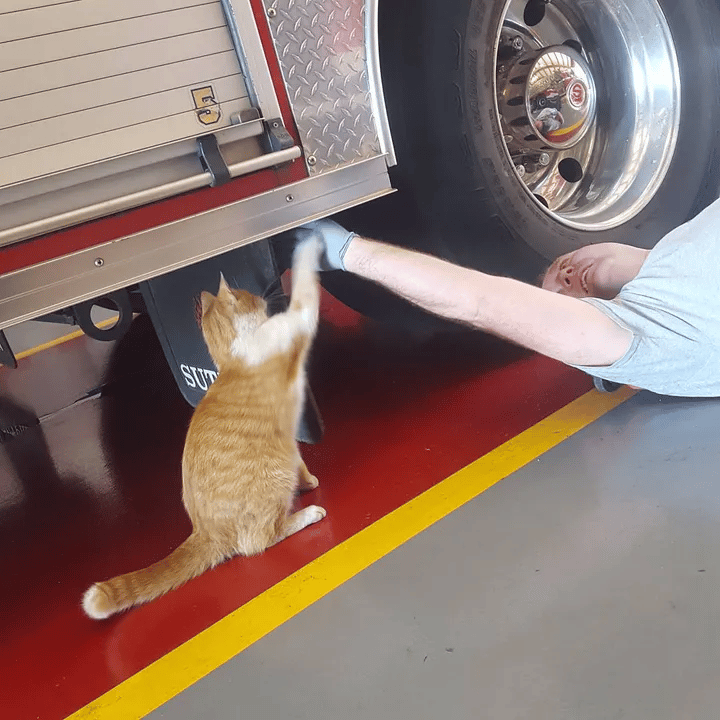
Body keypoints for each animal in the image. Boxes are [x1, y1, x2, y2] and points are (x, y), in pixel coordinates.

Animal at [82, 238, 326, 620]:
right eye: (249, 295)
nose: (262, 297)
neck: (233, 359)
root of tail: (204, 530)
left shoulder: (289, 443)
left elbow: (300, 459)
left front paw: (309, 481)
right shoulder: (297, 320)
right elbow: (305, 289)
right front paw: (310, 247)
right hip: (274, 477)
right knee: (258, 542)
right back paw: (307, 514)